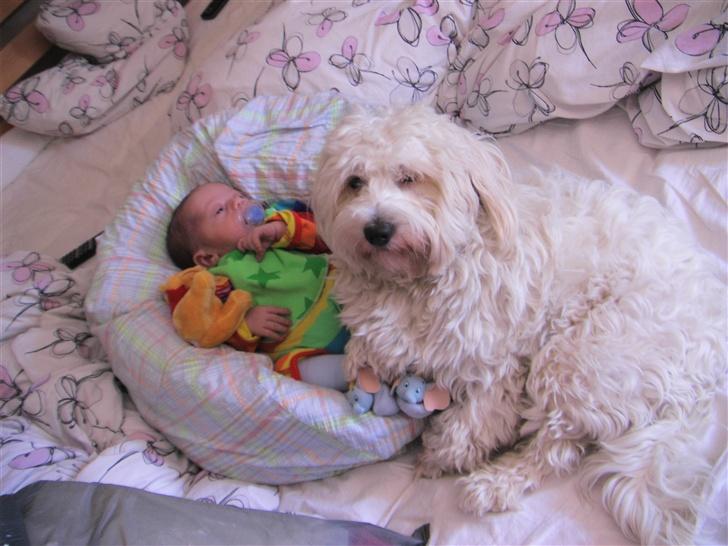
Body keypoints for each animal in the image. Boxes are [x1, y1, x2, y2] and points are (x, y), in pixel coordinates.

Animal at [312, 104, 728, 540]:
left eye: (409, 178)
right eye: (354, 182)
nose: (377, 229)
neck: (414, 283)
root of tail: (706, 366)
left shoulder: (493, 363)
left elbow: (475, 422)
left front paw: (441, 456)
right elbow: (366, 349)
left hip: (583, 354)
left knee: (558, 446)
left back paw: (494, 483)